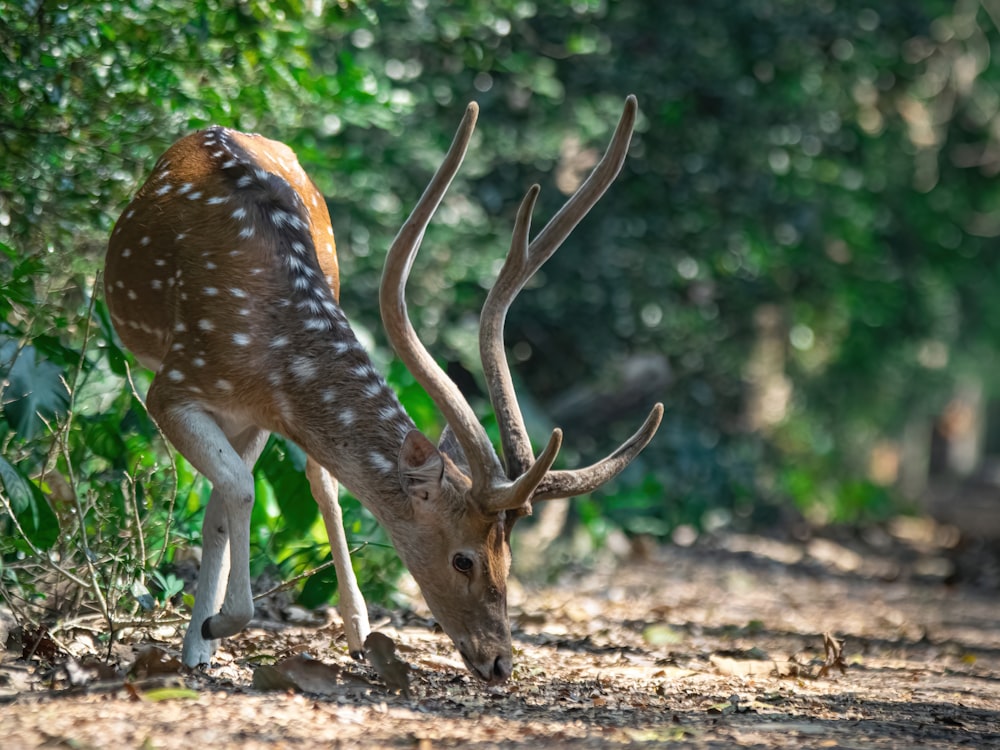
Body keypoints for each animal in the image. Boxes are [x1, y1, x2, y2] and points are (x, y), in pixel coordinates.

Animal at [103, 97, 664, 684]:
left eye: (509, 560)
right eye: (463, 558)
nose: (499, 662)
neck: (267, 350)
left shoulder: (254, 412)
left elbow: (231, 493)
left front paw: (207, 634)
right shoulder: (174, 386)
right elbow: (239, 487)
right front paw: (214, 629)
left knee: (316, 481)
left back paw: (353, 631)